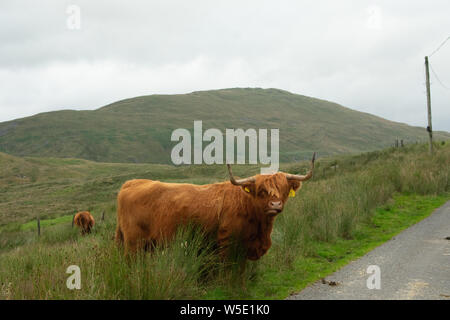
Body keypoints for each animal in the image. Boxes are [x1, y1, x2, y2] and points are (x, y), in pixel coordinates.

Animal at [114, 153, 314, 260]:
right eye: (261, 191)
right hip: (133, 245)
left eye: (284, 189)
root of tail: (131, 183)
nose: (275, 204)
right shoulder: (227, 245)